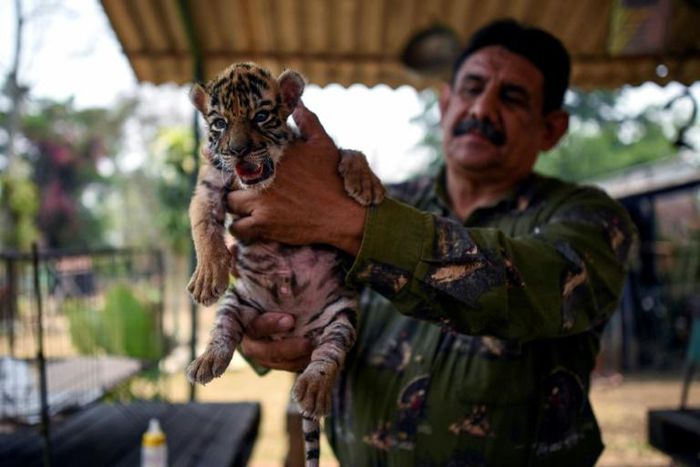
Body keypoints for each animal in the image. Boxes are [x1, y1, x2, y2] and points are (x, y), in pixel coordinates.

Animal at [185, 62, 384, 467]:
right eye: (219, 124)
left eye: (261, 116)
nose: (237, 151)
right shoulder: (209, 184)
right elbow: (203, 227)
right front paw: (208, 277)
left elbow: (349, 151)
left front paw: (367, 185)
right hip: (238, 303)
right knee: (223, 333)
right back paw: (206, 361)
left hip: (340, 315)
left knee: (329, 354)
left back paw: (312, 389)